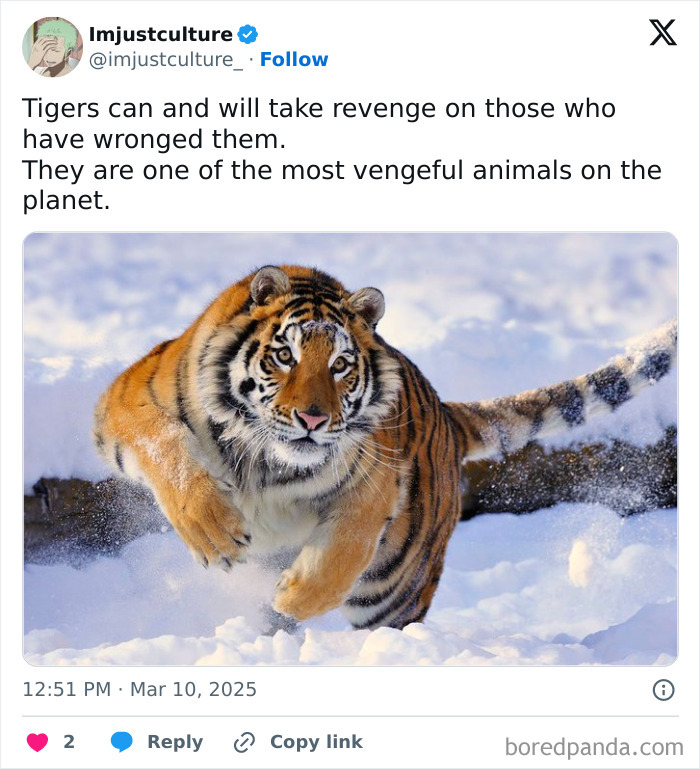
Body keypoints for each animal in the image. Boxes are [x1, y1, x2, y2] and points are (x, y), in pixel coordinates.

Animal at [93, 265, 677, 630]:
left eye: (340, 365)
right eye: (284, 355)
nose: (313, 418)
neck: (267, 460)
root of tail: (446, 413)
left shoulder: (374, 482)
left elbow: (343, 552)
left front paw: (293, 597)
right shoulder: (125, 400)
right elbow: (168, 449)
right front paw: (214, 534)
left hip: (396, 589)